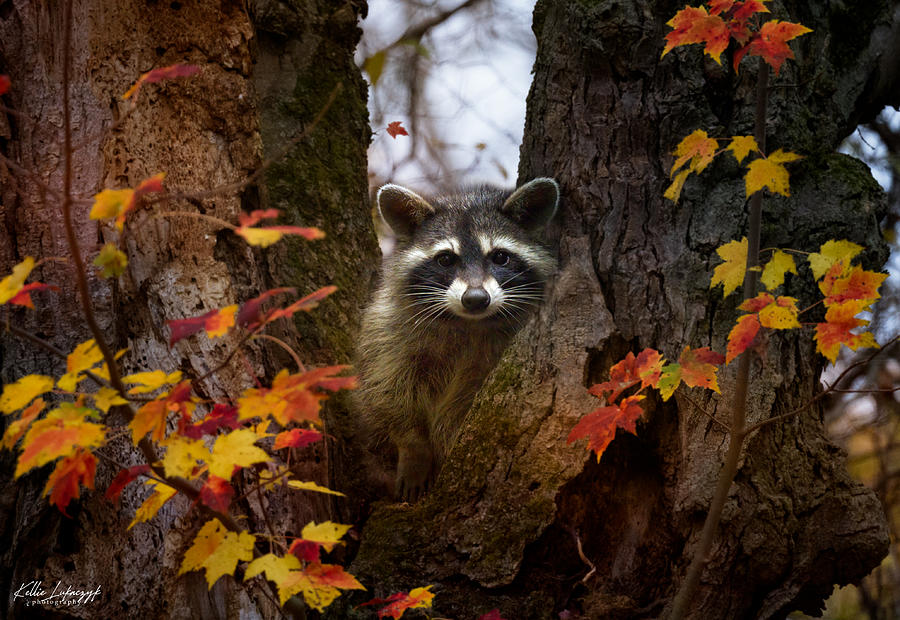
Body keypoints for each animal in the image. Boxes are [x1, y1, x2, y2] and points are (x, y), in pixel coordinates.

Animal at [356, 177, 560, 502]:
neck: (467, 322)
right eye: (445, 259)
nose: (476, 298)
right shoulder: (388, 330)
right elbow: (388, 391)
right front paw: (414, 449)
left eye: (500, 257)